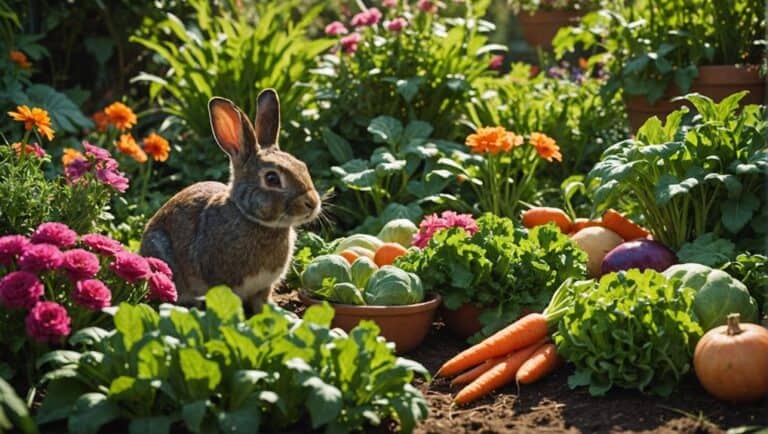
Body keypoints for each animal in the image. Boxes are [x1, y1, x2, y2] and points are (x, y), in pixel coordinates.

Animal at [139, 89, 321, 313]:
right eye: (272, 178)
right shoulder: (224, 281)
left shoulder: (264, 287)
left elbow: (262, 302)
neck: (250, 218)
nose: (312, 203)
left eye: (302, 166)